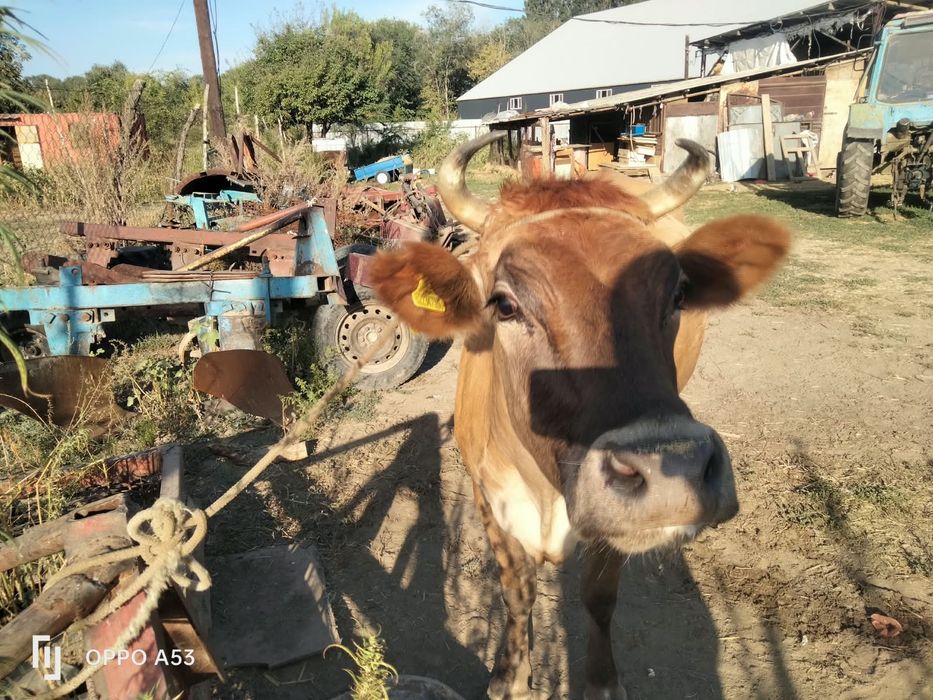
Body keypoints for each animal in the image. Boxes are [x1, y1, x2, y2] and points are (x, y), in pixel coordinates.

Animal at [368, 132, 789, 699]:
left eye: (678, 293)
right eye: (503, 304)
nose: (671, 473)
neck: (546, 491)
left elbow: (598, 597)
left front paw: (602, 682)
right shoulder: (485, 495)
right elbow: (515, 591)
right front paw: (510, 675)